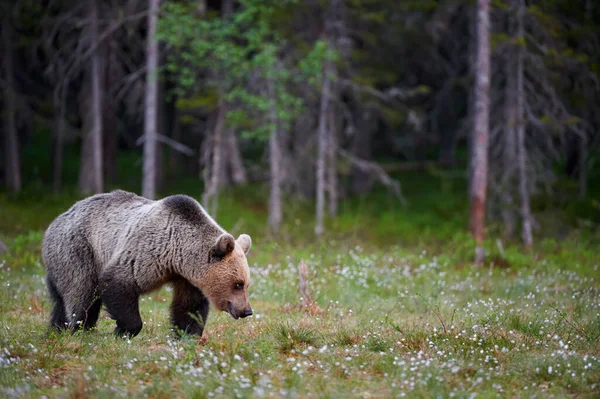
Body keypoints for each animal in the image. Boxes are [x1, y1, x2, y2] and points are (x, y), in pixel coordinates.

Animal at [41, 191, 253, 338]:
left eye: (246, 284)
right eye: (237, 284)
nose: (247, 311)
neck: (176, 254)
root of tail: (57, 219)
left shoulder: (186, 278)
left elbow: (189, 306)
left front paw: (187, 335)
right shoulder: (146, 252)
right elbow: (118, 282)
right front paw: (123, 330)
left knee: (60, 300)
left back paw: (56, 330)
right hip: (79, 251)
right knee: (81, 294)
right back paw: (80, 330)